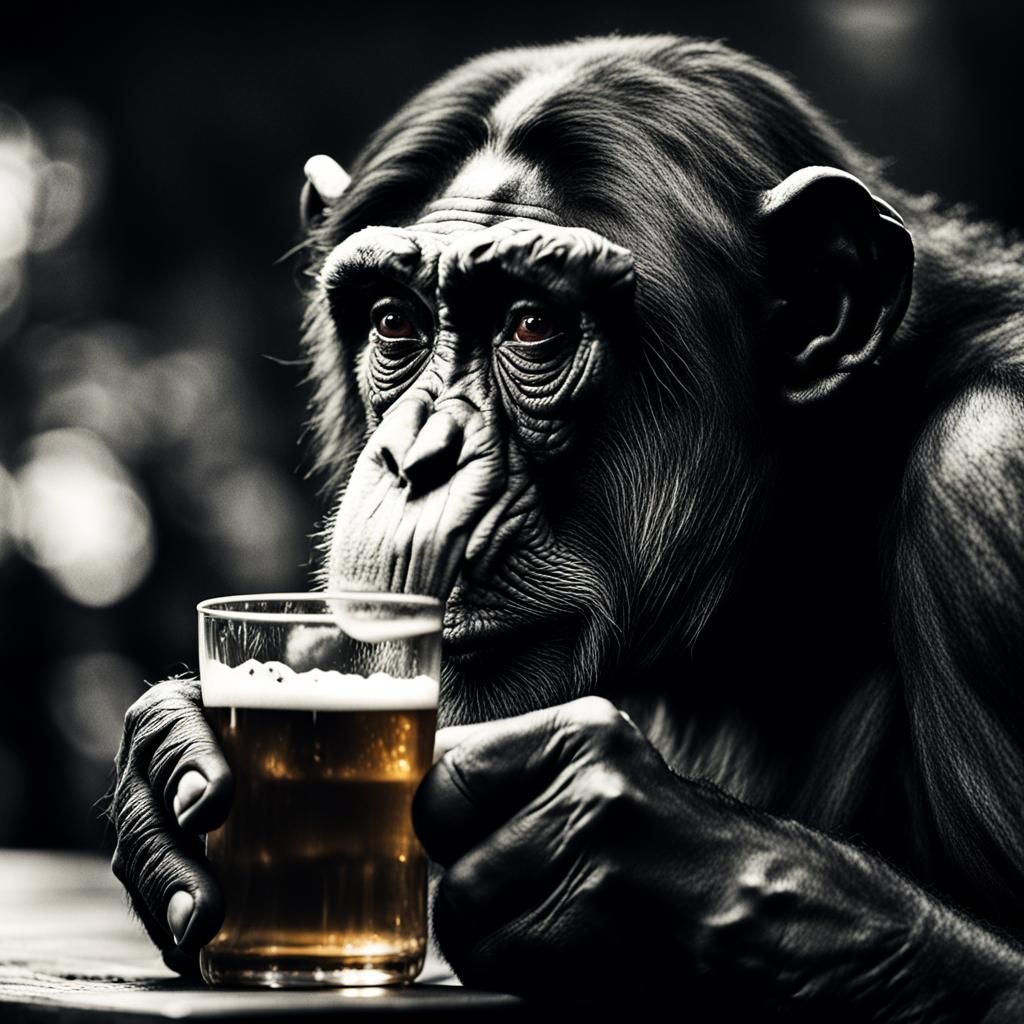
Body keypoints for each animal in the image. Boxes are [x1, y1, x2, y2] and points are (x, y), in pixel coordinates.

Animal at [110, 35, 1024, 1019]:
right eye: (395, 322)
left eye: (532, 324)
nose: (418, 455)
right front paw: (176, 758)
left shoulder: (987, 473)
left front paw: (626, 861)